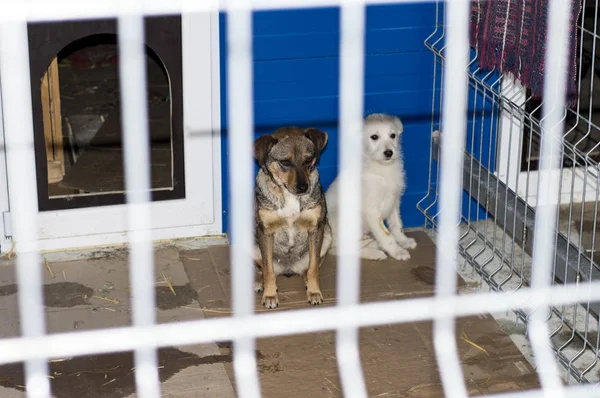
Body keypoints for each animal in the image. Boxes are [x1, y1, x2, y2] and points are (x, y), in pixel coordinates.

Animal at [251, 126, 330, 310]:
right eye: (285, 162)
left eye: (308, 160)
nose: (303, 187)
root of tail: (288, 269)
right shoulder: (265, 231)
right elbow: (268, 270)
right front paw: (270, 295)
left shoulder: (316, 228)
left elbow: (314, 267)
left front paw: (314, 292)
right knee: (263, 268)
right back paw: (260, 283)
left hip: (328, 235)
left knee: (309, 267)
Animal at [326, 112, 414, 262]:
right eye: (374, 137)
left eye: (393, 135)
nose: (389, 153)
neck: (382, 169)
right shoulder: (371, 210)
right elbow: (386, 235)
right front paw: (397, 251)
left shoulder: (394, 201)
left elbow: (396, 225)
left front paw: (404, 241)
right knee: (339, 250)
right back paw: (375, 253)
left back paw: (374, 244)